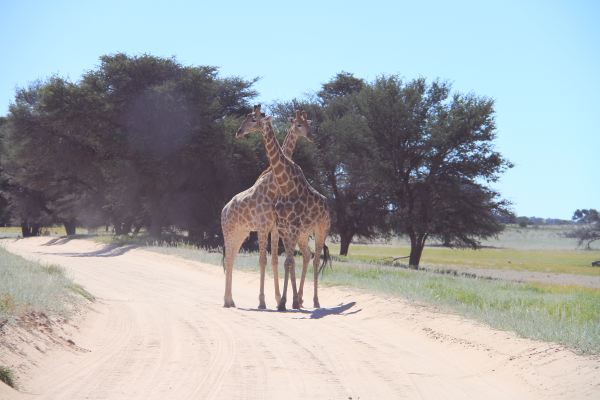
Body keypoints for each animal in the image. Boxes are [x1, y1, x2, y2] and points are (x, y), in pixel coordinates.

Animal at [233, 106, 330, 312]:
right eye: (299, 124)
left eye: (253, 119)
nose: (238, 132)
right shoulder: (279, 227)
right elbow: (280, 261)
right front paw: (283, 300)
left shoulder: (280, 228)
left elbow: (283, 261)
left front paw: (284, 300)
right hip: (299, 233)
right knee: (304, 257)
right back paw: (297, 298)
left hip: (319, 230)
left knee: (314, 258)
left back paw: (312, 300)